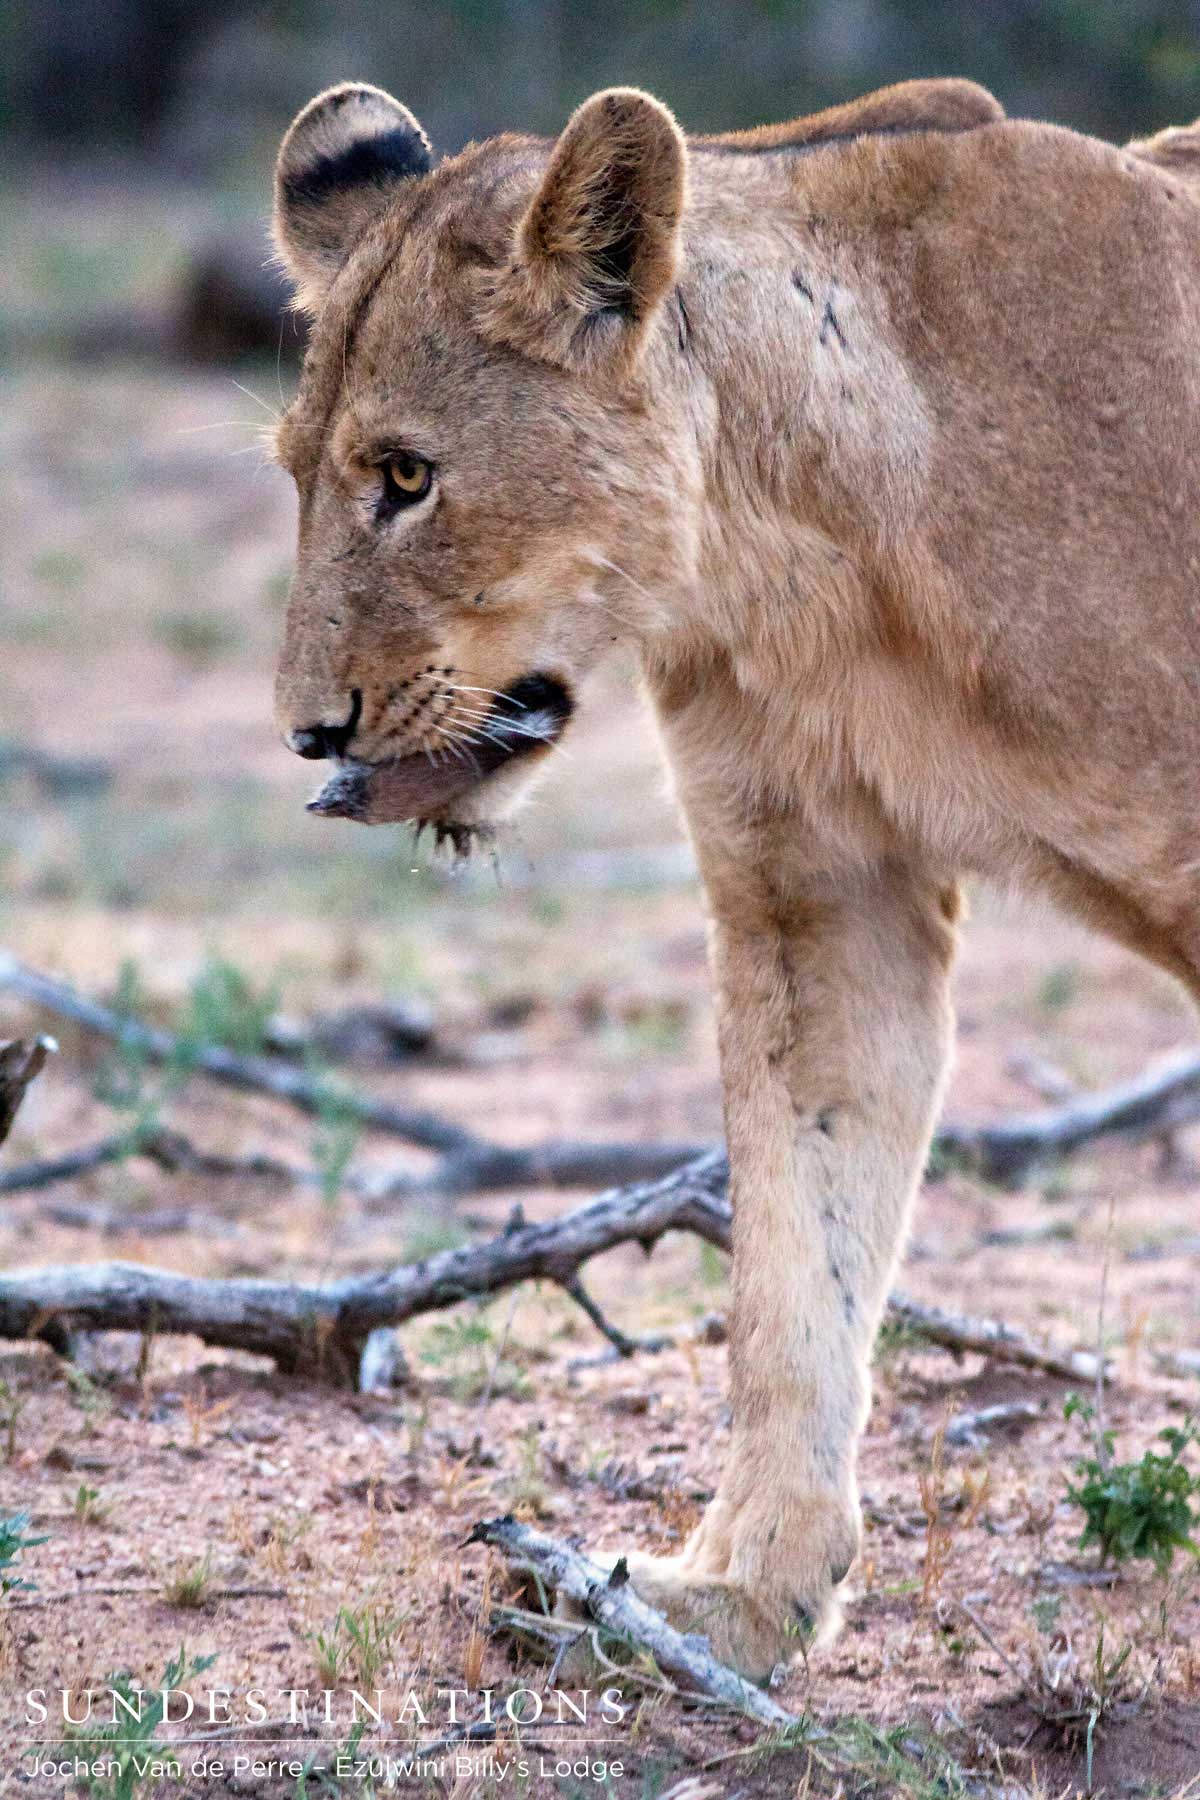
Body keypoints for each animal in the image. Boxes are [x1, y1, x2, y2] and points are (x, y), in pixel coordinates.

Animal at [269, 75, 1200, 1678]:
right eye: (293, 475)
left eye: (406, 477)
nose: (307, 730)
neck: (809, 552)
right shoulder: (819, 900)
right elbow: (792, 1259)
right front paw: (731, 1601)